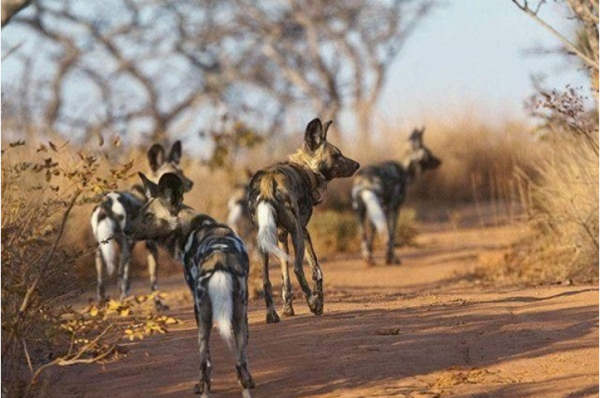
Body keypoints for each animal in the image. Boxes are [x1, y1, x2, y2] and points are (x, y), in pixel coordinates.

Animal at [89, 141, 193, 310]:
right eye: (176, 173)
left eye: (181, 171)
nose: (191, 183)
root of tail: (106, 204)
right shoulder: (150, 245)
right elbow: (153, 279)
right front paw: (158, 304)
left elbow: (127, 278)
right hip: (124, 248)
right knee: (119, 274)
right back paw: (122, 305)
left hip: (100, 249)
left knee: (100, 280)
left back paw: (101, 305)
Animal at [126, 173, 255, 398]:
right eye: (140, 213)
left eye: (149, 216)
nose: (125, 230)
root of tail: (219, 260)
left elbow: (208, 362)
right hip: (239, 313)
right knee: (241, 363)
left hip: (202, 317)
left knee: (204, 362)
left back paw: (202, 389)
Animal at [247, 117, 358, 324]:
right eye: (336, 155)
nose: (357, 165)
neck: (307, 169)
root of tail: (268, 182)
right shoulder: (303, 231)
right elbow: (317, 271)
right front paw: (318, 304)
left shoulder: (281, 236)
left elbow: (285, 278)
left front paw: (287, 310)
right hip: (296, 232)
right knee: (298, 268)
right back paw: (312, 304)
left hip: (263, 242)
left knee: (266, 280)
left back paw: (271, 315)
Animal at [352, 126, 440, 266]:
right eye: (429, 153)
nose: (439, 161)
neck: (405, 169)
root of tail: (363, 181)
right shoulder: (393, 209)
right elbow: (391, 235)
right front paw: (391, 258)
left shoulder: (379, 211)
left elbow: (374, 234)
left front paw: (379, 256)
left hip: (360, 212)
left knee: (363, 236)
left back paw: (368, 259)